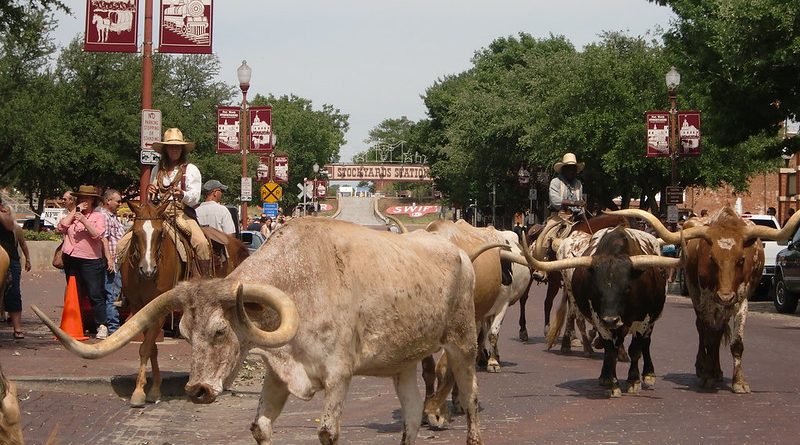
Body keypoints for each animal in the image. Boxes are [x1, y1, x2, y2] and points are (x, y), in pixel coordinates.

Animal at [33, 217, 486, 445]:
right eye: (185, 331)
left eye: (220, 331)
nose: (197, 390)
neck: (301, 282)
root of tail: (459, 251)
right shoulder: (278, 374)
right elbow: (260, 428)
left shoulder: (339, 376)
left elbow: (327, 431)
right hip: (403, 363)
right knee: (410, 420)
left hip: (462, 343)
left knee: (471, 400)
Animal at [527, 225, 681, 397]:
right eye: (596, 290)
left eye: (627, 288)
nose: (610, 320)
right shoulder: (598, 318)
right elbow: (610, 350)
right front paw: (611, 383)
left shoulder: (643, 319)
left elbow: (636, 349)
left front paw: (633, 381)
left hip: (652, 317)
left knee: (646, 343)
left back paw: (647, 374)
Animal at [612, 206, 800, 393]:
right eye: (712, 259)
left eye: (741, 260)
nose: (725, 296)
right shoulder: (707, 300)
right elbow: (709, 337)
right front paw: (707, 375)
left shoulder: (741, 301)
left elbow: (736, 343)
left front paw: (739, 381)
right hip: (697, 296)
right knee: (704, 330)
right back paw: (705, 368)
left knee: (717, 331)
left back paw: (716, 371)